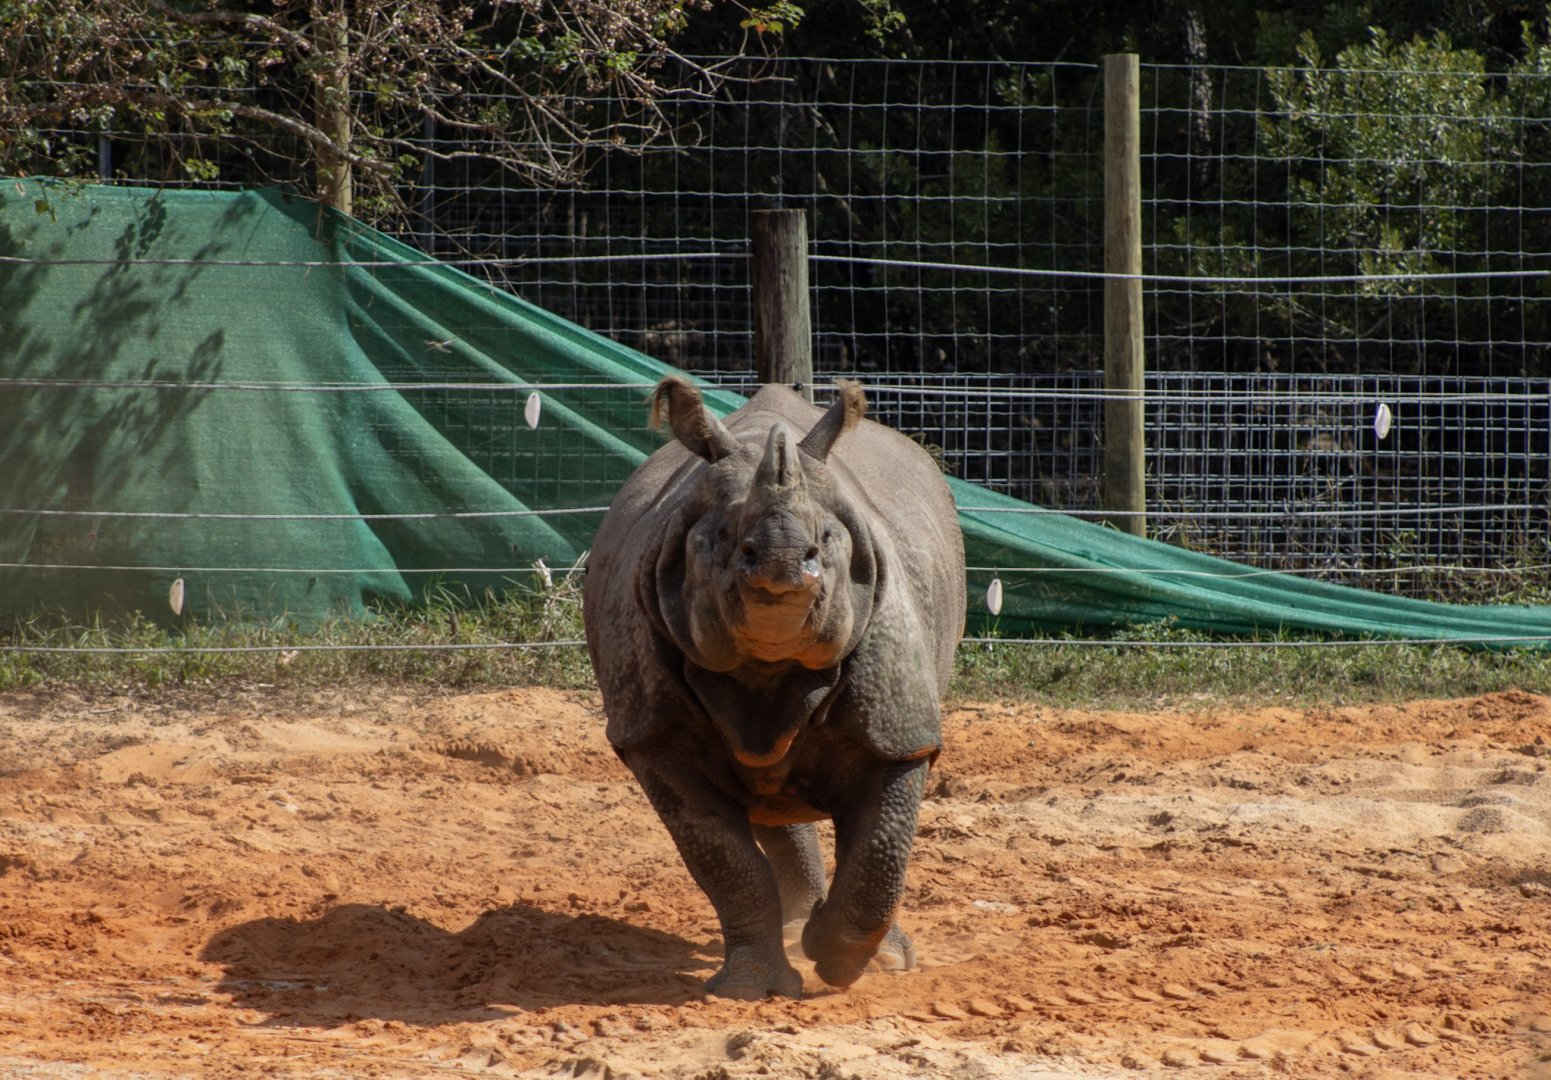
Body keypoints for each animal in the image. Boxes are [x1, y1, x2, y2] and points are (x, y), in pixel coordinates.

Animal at [583, 376, 965, 999]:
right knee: (769, 800)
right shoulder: (651, 730)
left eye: (827, 539)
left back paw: (860, 948)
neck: (767, 668)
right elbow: (724, 859)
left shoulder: (899, 726)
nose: (785, 564)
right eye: (722, 538)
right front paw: (752, 988)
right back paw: (795, 925)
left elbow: (883, 847)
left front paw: (840, 959)